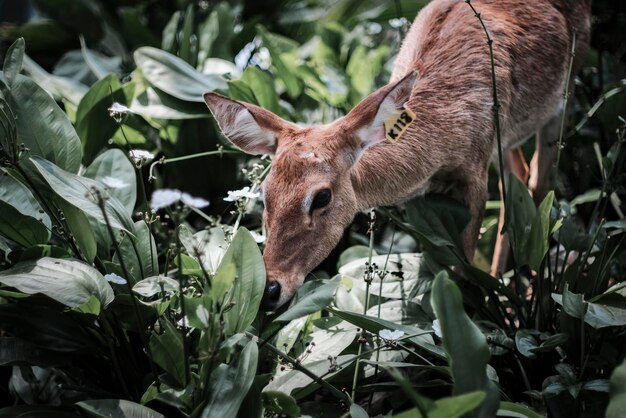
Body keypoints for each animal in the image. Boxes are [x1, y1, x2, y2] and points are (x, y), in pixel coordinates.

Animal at [205, 0, 588, 310]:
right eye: (264, 193)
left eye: (322, 196)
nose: (269, 290)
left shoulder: (476, 172)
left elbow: (464, 269)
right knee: (520, 179)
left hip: (565, 90)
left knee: (539, 182)